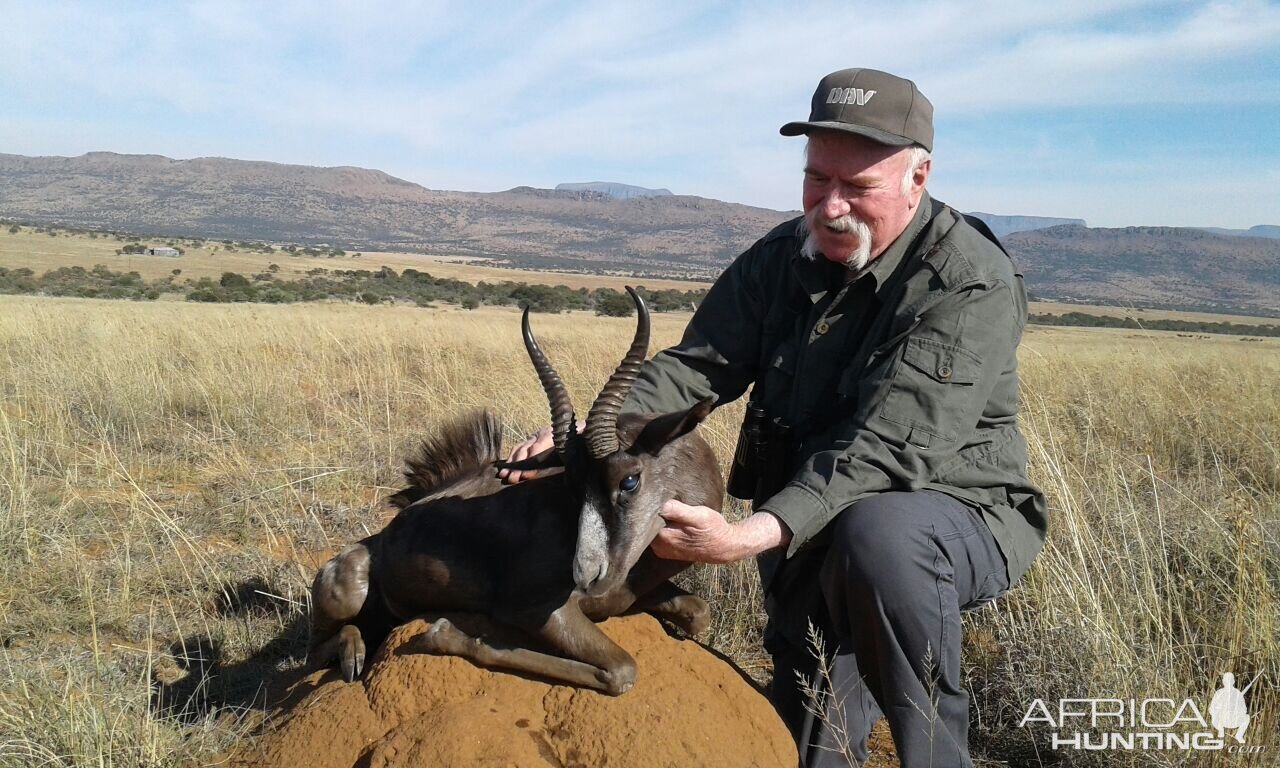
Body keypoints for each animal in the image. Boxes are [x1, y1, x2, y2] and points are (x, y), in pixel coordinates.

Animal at [307, 289, 721, 696]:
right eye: (572, 486)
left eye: (629, 480)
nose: (586, 578)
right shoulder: (535, 610)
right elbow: (621, 670)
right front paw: (443, 633)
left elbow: (699, 613)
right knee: (316, 652)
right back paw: (353, 654)